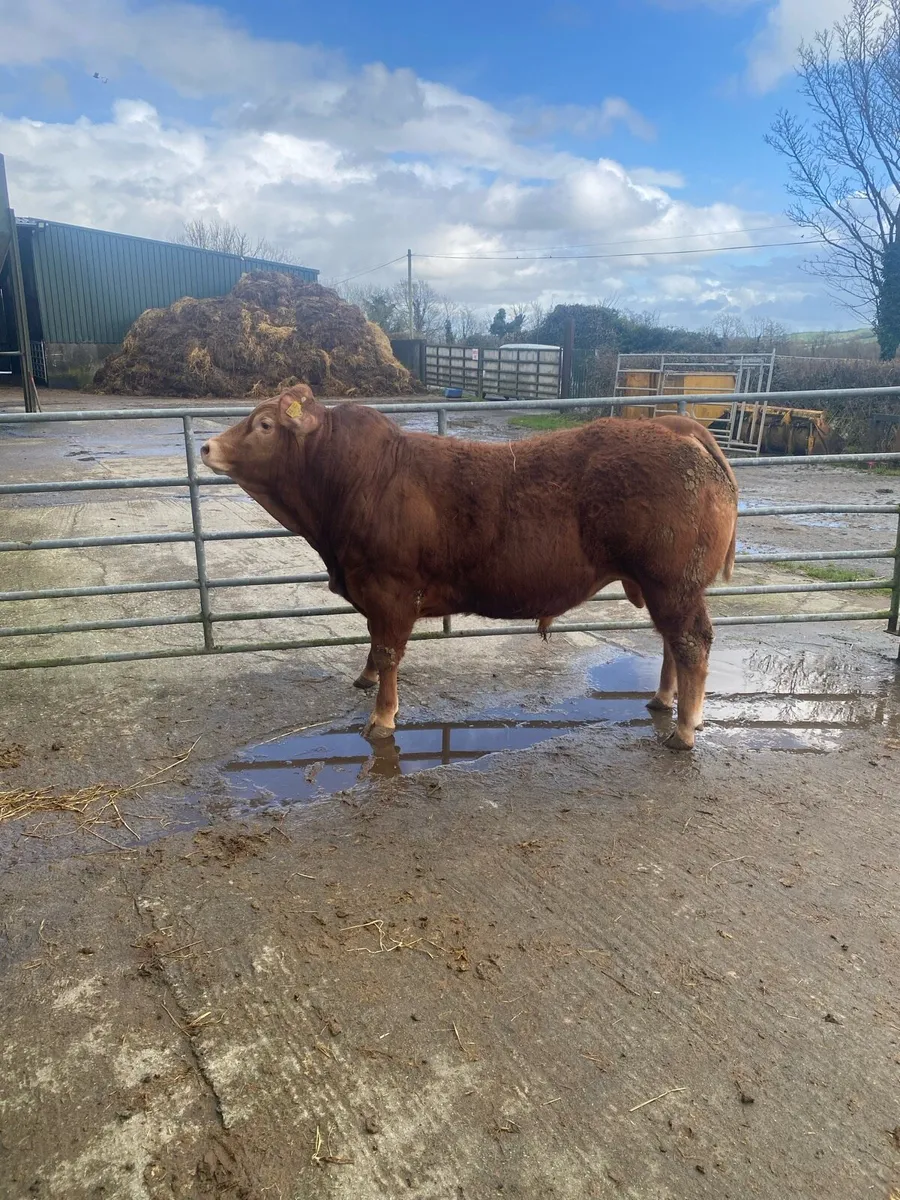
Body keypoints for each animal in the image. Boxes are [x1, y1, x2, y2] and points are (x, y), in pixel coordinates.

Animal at [201, 384, 738, 750]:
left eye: (264, 424)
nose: (207, 447)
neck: (354, 479)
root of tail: (683, 433)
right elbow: (375, 649)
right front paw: (366, 679)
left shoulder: (391, 591)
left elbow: (389, 653)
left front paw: (382, 719)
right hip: (664, 586)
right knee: (672, 641)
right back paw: (662, 700)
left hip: (673, 582)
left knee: (691, 643)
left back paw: (684, 729)